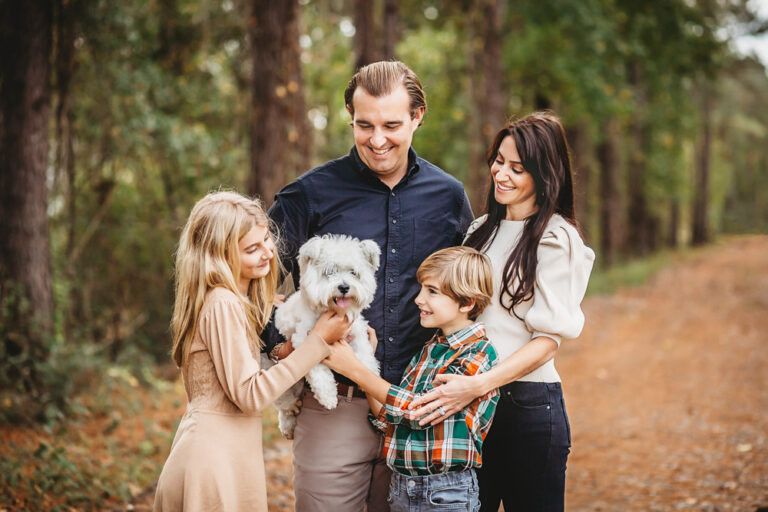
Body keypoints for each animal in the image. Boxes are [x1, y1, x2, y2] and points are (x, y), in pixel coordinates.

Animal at [272, 234, 382, 438]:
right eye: (329, 272)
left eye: (353, 272)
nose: (344, 287)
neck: (333, 311)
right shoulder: (308, 341)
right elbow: (318, 371)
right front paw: (328, 396)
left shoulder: (356, 332)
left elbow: (365, 355)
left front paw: (370, 376)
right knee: (285, 406)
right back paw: (288, 423)